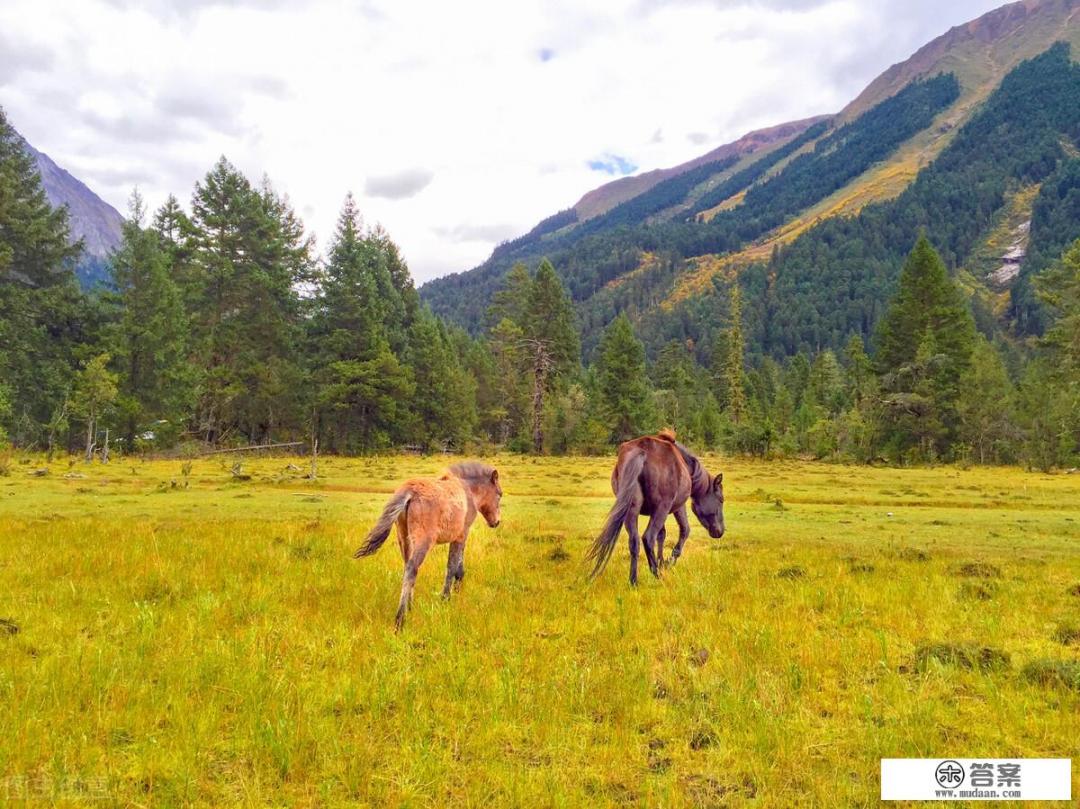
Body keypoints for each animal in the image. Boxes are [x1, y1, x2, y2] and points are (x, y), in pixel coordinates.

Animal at [356, 460, 503, 626]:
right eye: (499, 494)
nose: (496, 522)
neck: (468, 491)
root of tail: (410, 491)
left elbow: (458, 567)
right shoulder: (461, 535)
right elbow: (452, 567)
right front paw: (446, 598)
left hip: (404, 539)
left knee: (407, 568)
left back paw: (410, 607)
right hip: (423, 542)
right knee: (412, 568)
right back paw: (400, 619)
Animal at [587, 432, 730, 583]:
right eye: (721, 500)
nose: (720, 531)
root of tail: (642, 450)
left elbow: (661, 535)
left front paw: (661, 561)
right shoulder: (676, 508)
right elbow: (684, 530)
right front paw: (668, 562)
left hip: (632, 509)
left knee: (634, 541)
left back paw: (634, 580)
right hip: (661, 509)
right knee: (648, 537)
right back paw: (656, 575)